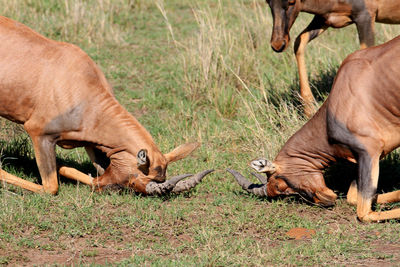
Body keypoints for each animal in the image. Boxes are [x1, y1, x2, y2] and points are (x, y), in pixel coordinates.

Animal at [230, 36, 400, 224]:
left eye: (279, 185)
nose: (325, 200)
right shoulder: (363, 156)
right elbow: (353, 197)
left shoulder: (368, 152)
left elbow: (363, 212)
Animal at [266, 0, 400, 117]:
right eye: (268, 2)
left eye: (292, 2)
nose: (278, 44)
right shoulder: (323, 19)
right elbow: (299, 41)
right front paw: (309, 111)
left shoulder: (364, 16)